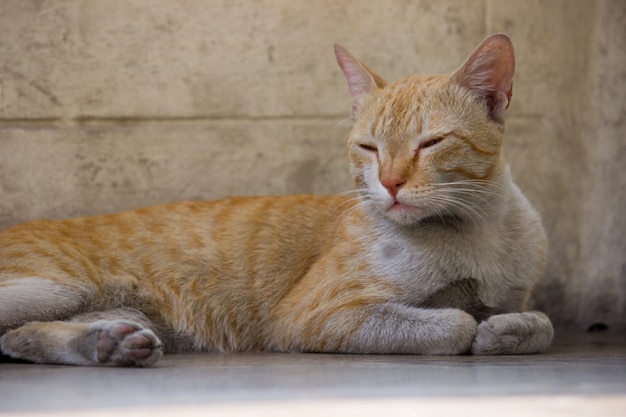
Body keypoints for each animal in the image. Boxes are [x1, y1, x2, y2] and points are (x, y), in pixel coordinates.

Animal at [0, 34, 552, 366]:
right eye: (368, 147)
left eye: (431, 143)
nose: (391, 183)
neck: (477, 229)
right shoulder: (315, 315)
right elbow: (455, 323)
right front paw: (475, 329)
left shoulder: (517, 294)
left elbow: (539, 323)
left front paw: (505, 329)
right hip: (54, 286)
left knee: (14, 338)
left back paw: (109, 344)